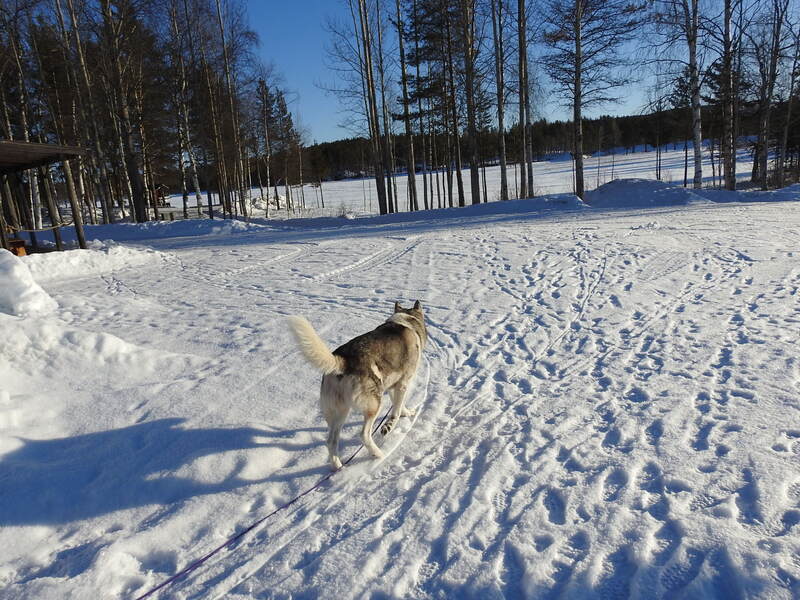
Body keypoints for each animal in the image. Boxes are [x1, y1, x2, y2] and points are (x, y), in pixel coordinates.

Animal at [286, 302, 424, 472]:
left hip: (340, 412)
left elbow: (399, 405)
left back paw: (338, 467)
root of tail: (343, 361)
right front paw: (390, 425)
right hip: (374, 405)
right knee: (364, 435)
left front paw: (406, 413)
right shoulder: (402, 384)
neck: (407, 320)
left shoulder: (394, 386)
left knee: (331, 441)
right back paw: (378, 454)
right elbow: (396, 411)